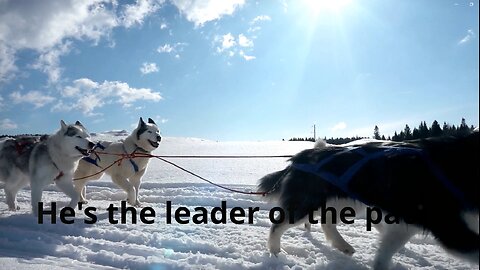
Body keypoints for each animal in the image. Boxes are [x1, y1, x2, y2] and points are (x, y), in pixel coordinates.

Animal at [260, 131, 478, 268]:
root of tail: (301, 156)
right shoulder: (448, 227)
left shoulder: (403, 226)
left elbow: (383, 255)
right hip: (309, 204)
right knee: (278, 226)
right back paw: (275, 251)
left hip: (345, 202)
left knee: (326, 222)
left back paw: (343, 245)